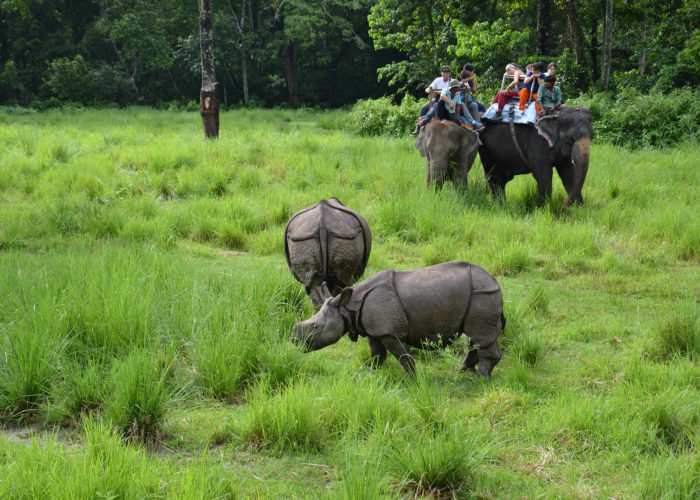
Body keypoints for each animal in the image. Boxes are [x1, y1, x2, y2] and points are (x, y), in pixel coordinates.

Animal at [290, 262, 504, 376]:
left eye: (315, 327)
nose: (294, 341)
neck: (346, 307)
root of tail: (494, 281)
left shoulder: (389, 331)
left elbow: (404, 356)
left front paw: (413, 380)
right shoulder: (374, 330)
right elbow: (377, 355)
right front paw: (371, 375)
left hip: (482, 294)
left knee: (479, 336)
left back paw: (481, 379)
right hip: (481, 294)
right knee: (476, 338)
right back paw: (460, 371)